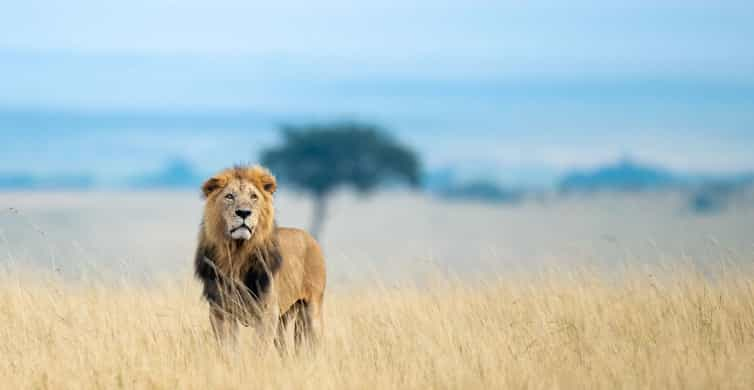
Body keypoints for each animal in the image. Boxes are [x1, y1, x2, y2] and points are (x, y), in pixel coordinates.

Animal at [192, 163, 324, 348]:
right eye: (229, 196)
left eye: (253, 196)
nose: (243, 213)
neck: (237, 254)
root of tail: (310, 237)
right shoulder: (220, 312)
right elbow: (227, 349)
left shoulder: (267, 312)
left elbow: (259, 348)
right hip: (282, 322)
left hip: (312, 311)